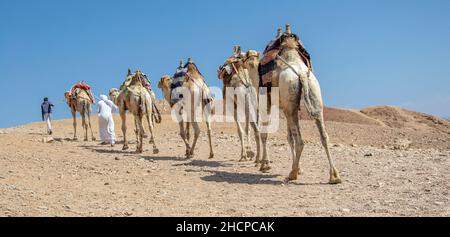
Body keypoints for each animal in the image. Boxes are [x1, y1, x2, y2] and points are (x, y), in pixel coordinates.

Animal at [256, 25, 342, 184]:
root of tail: (301, 74)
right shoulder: (286, 107)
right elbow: (289, 137)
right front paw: (298, 167)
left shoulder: (267, 101)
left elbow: (265, 133)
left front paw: (265, 165)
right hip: (313, 97)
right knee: (323, 136)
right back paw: (334, 176)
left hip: (290, 105)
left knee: (299, 140)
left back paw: (292, 174)